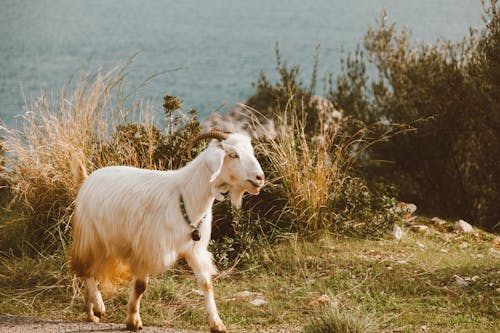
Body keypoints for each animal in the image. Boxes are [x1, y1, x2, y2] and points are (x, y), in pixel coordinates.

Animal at [70, 131, 266, 330]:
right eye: (233, 154)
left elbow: (206, 284)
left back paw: (92, 312)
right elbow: (140, 286)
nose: (260, 177)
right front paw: (133, 320)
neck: (185, 195)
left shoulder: (195, 250)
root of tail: (87, 180)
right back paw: (97, 307)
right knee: (86, 270)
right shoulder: (147, 248)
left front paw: (217, 324)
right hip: (92, 236)